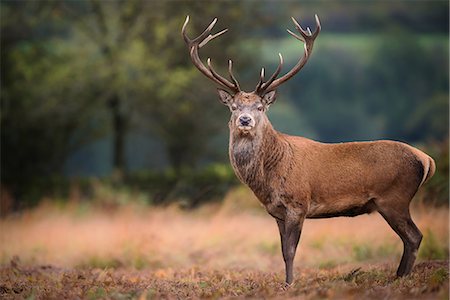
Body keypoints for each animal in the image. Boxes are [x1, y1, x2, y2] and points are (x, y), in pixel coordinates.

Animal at [181, 14, 434, 286]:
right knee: (411, 237)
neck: (269, 177)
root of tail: (426, 159)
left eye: (260, 107)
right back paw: (398, 277)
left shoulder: (298, 203)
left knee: (414, 236)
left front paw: (290, 284)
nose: (245, 120)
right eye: (234, 107)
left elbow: (291, 250)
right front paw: (286, 282)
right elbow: (282, 250)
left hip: (395, 197)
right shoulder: (276, 211)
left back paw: (401, 279)